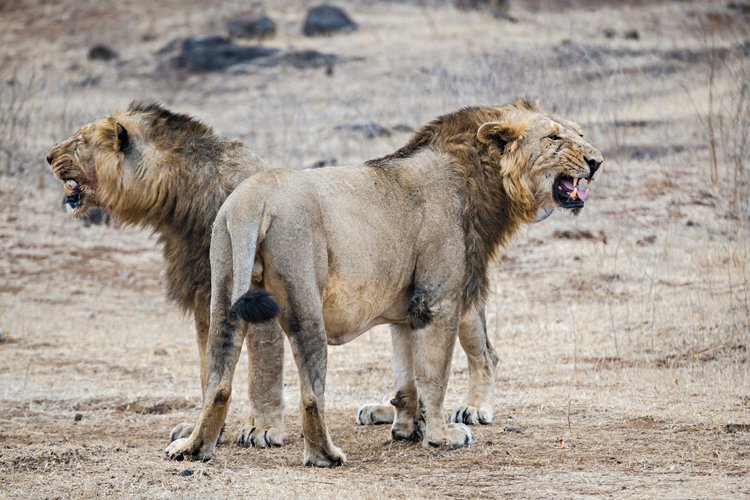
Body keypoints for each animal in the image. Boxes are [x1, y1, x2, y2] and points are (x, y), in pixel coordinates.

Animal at [47, 101, 506, 450]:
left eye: (80, 140)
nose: (49, 156)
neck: (182, 205)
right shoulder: (206, 297)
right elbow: (209, 368)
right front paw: (199, 429)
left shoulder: (256, 298)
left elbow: (263, 366)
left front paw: (263, 429)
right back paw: (386, 413)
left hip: (451, 292)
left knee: (482, 351)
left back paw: (474, 409)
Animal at [164, 99, 604, 466]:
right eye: (554, 137)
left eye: (581, 133)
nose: (597, 160)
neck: (483, 177)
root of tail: (253, 201)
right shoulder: (437, 299)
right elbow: (434, 374)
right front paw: (440, 435)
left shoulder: (406, 306)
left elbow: (406, 374)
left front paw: (407, 428)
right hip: (305, 297)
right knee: (311, 392)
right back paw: (325, 455)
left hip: (223, 287)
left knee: (218, 378)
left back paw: (193, 448)